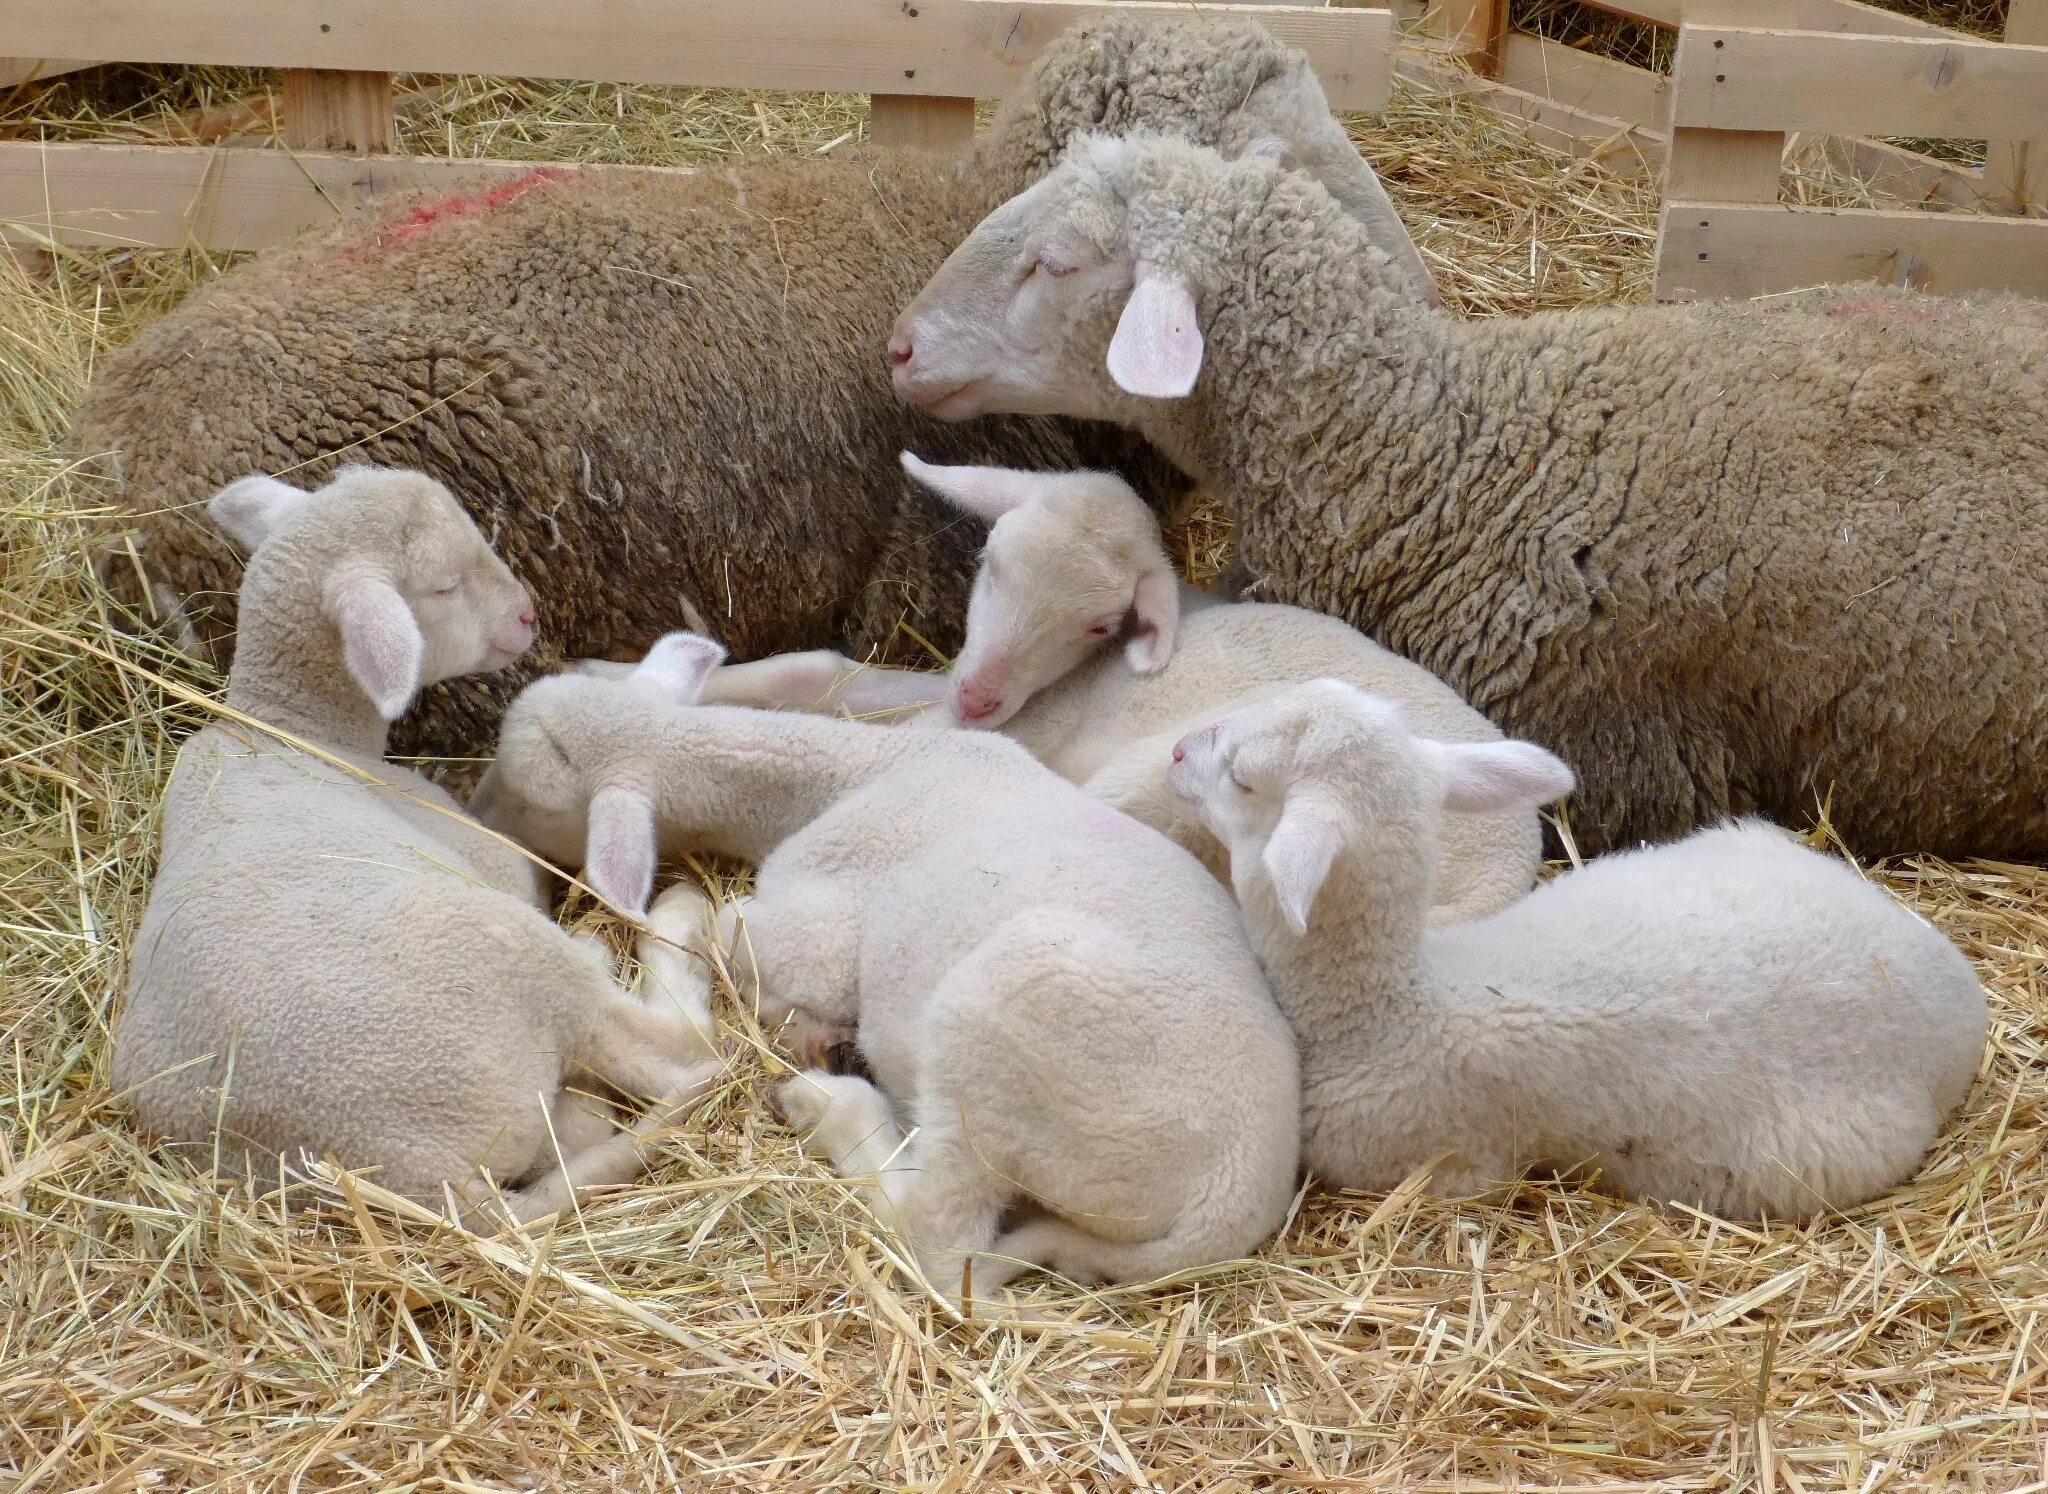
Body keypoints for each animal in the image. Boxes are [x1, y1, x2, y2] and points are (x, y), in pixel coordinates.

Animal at [114, 469, 720, 1221]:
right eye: (442, 588)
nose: (527, 617)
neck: (288, 726)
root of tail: (419, 1174)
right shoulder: (484, 853)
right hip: (507, 950)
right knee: (682, 1056)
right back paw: (665, 923)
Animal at [471, 635, 1294, 1303]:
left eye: (526, 792)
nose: (475, 818)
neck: (856, 773)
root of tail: (1228, 1208)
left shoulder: (816, 926)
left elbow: (714, 923)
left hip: (1002, 1031)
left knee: (937, 1240)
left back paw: (825, 1102)